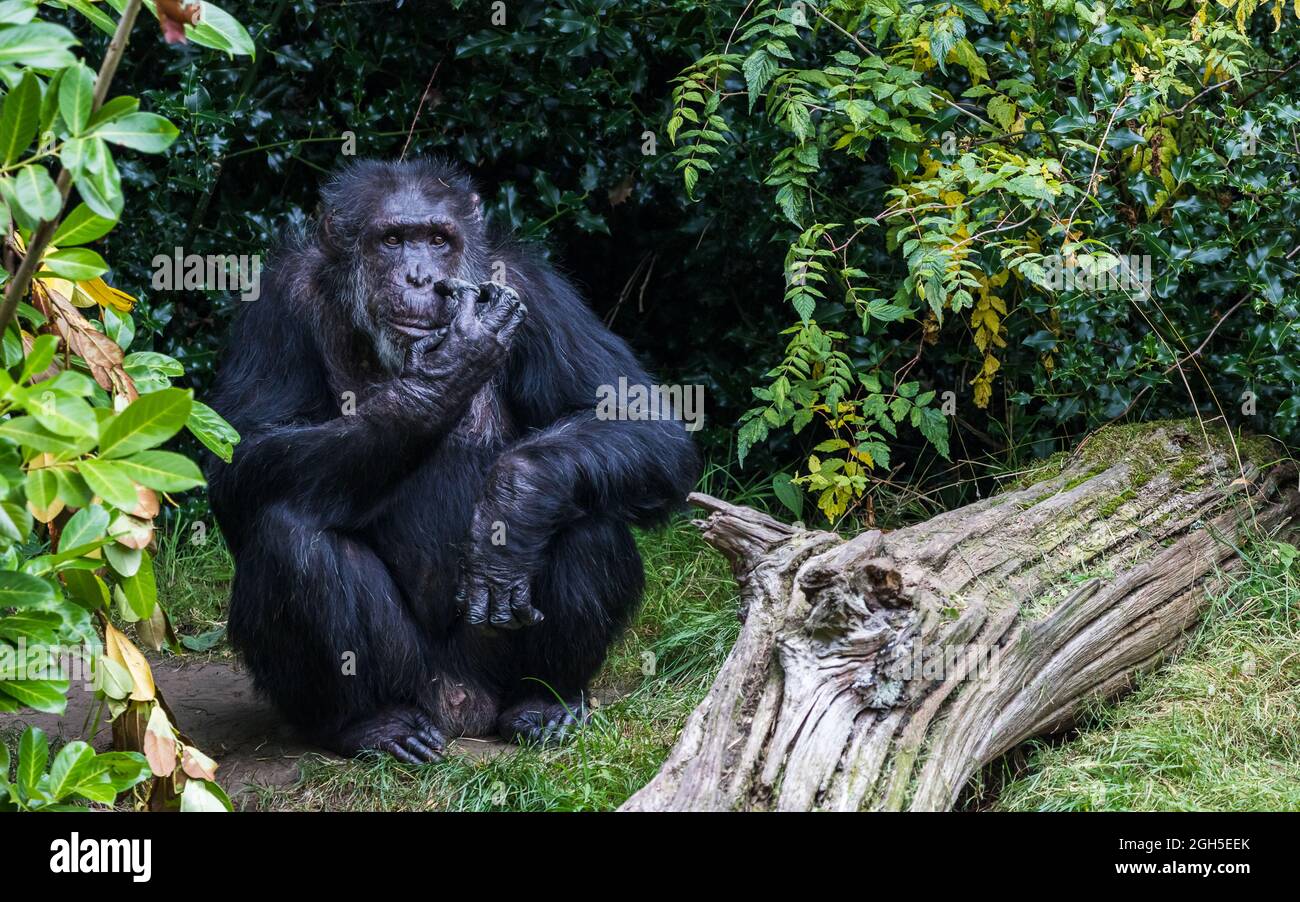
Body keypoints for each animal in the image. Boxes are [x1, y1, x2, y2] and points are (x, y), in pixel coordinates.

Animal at [206, 157, 702, 764]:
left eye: (438, 240)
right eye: (393, 240)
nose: (420, 276)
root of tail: (463, 709)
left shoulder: (536, 290)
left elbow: (636, 417)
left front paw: (514, 503)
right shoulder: (275, 303)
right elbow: (240, 457)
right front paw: (445, 373)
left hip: (492, 665)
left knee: (588, 515)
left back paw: (547, 702)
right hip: (415, 677)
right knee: (288, 537)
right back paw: (372, 723)